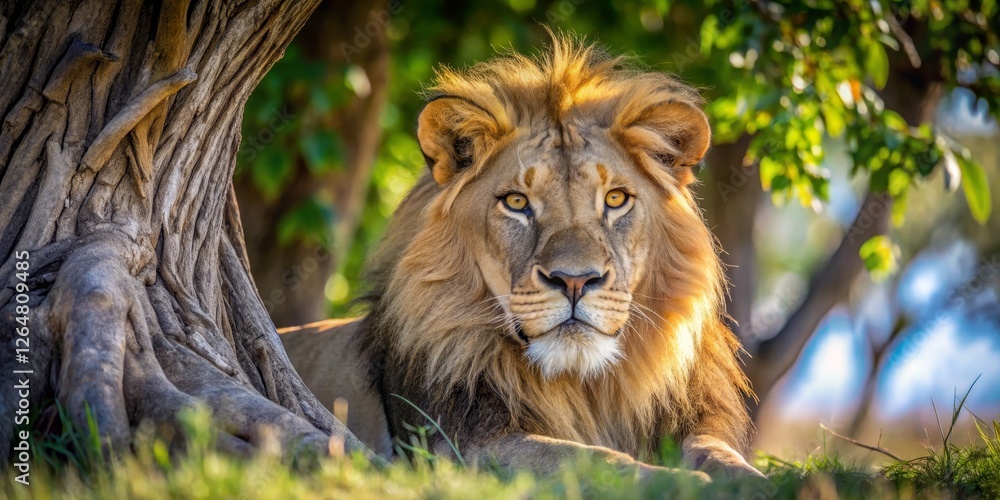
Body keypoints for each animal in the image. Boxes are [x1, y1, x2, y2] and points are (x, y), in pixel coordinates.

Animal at [280, 34, 762, 481]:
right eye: (516, 202)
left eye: (616, 198)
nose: (575, 281)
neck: (584, 384)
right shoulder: (467, 446)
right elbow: (594, 460)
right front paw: (683, 482)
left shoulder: (698, 424)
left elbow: (721, 455)